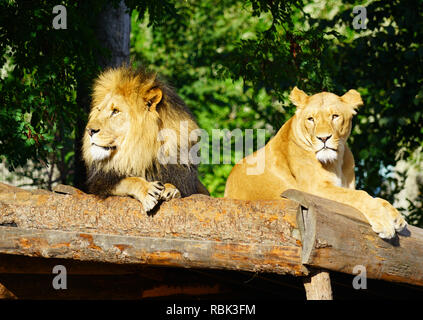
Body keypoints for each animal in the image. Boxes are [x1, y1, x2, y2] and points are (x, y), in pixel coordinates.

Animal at [82, 67, 210, 212]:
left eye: (115, 111)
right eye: (99, 110)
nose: (89, 130)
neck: (143, 153)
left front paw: (170, 190)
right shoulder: (100, 183)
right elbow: (128, 180)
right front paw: (149, 190)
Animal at [227, 86, 410, 239]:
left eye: (335, 116)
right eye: (311, 119)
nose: (323, 138)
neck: (336, 162)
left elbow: (375, 198)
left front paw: (397, 218)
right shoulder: (315, 189)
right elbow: (360, 195)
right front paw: (385, 223)